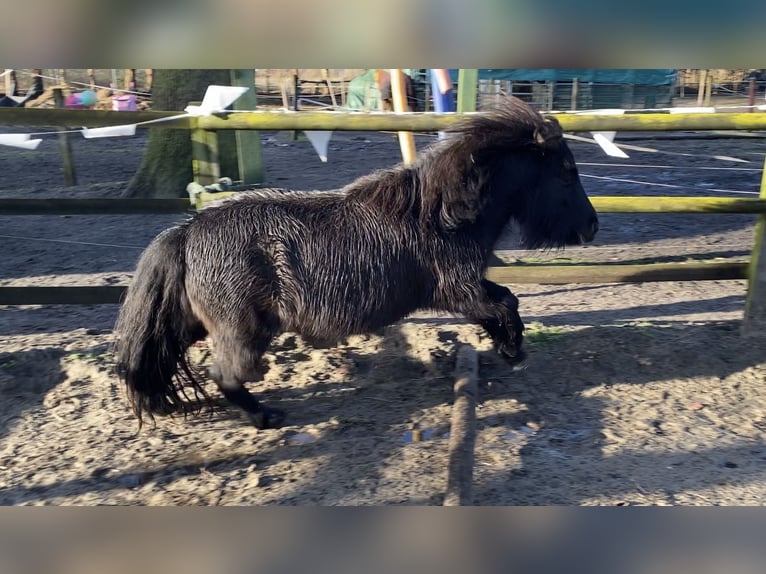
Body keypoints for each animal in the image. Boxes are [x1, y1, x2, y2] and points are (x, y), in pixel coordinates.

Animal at [114, 95, 600, 428]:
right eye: (566, 173)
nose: (592, 227)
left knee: (166, 356)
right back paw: (266, 417)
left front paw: (506, 347)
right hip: (243, 332)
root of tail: (188, 231)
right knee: (224, 374)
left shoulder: (466, 287)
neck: (444, 214)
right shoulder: (458, 289)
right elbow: (505, 303)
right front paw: (514, 349)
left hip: (196, 322)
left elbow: (504, 303)